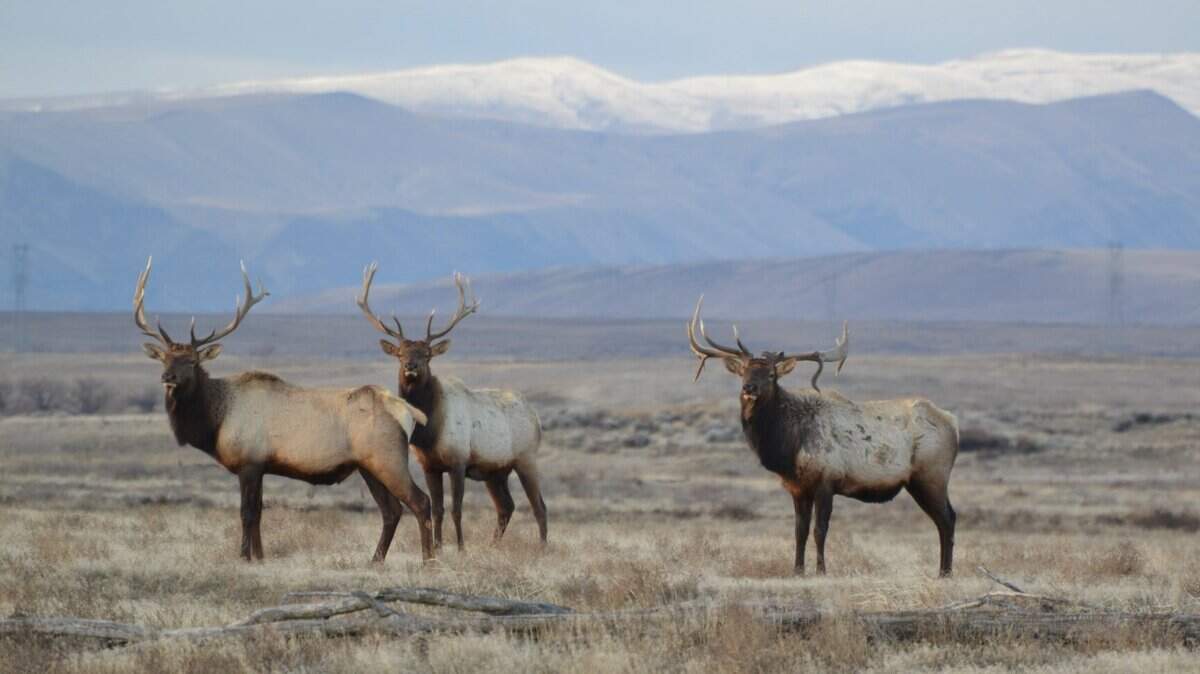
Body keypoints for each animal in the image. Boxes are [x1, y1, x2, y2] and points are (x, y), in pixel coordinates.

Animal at [133, 257, 435, 563]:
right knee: (392, 510)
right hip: (367, 466)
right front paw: (260, 556)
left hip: (388, 459)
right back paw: (376, 560)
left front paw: (244, 556)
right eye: (165, 359)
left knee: (420, 501)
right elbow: (259, 513)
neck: (216, 421)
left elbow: (247, 513)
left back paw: (428, 560)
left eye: (192, 361)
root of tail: (408, 411)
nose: (168, 377)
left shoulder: (249, 462)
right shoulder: (262, 466)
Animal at [358, 264, 547, 551]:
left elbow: (457, 509)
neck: (428, 431)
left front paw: (460, 548)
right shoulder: (430, 466)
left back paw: (543, 548)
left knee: (539, 506)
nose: (410, 366)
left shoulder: (458, 462)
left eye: (426, 355)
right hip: (495, 472)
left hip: (526, 458)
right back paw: (493, 546)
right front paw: (438, 546)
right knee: (506, 507)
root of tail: (537, 418)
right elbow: (438, 510)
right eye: (400, 354)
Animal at [687, 297, 959, 577]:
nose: (749, 388)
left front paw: (821, 570)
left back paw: (945, 572)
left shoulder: (826, 481)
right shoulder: (797, 488)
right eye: (743, 372)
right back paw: (943, 570)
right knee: (944, 519)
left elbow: (820, 530)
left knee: (947, 519)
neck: (787, 445)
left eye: (771, 375)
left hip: (931, 475)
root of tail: (952, 421)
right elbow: (800, 531)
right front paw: (797, 570)